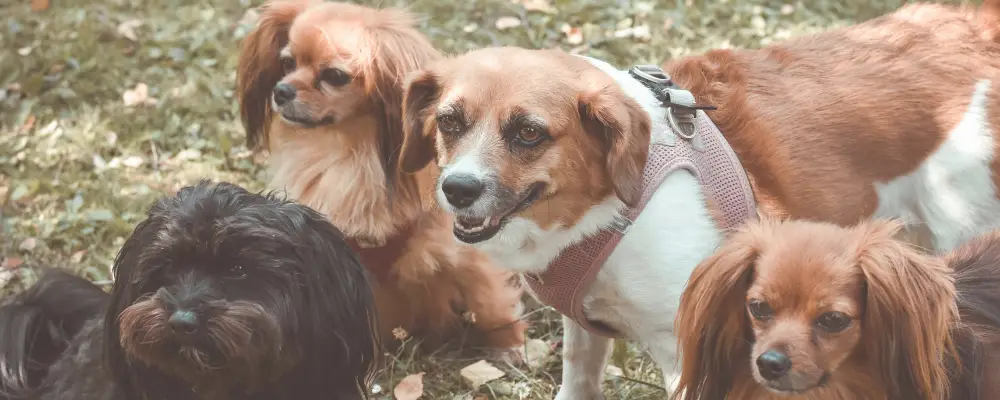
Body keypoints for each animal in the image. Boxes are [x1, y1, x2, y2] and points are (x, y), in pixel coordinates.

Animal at [237, 0, 528, 356]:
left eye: (334, 76)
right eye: (287, 63)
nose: (281, 90)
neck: (348, 152)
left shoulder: (462, 247)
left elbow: (488, 297)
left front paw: (510, 344)